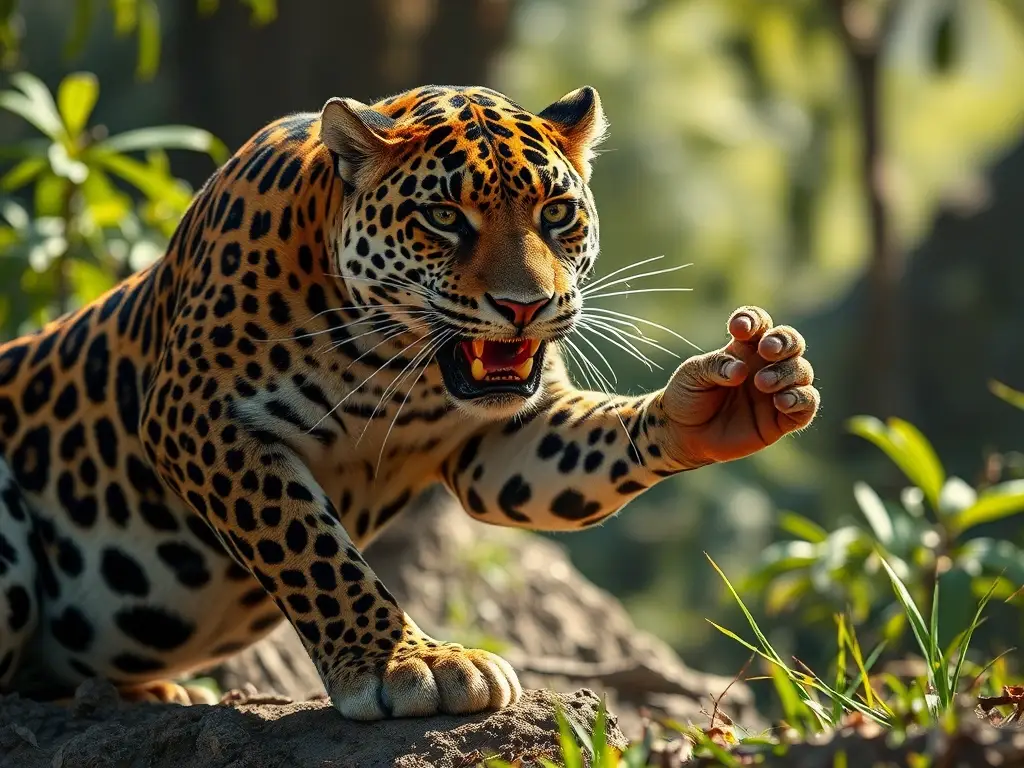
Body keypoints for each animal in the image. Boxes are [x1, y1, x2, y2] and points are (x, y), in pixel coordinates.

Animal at [0, 84, 819, 720]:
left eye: (556, 213)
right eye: (444, 218)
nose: (525, 307)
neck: (399, 366)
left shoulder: (507, 443)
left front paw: (731, 394)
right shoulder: (196, 414)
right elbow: (313, 548)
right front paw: (405, 663)